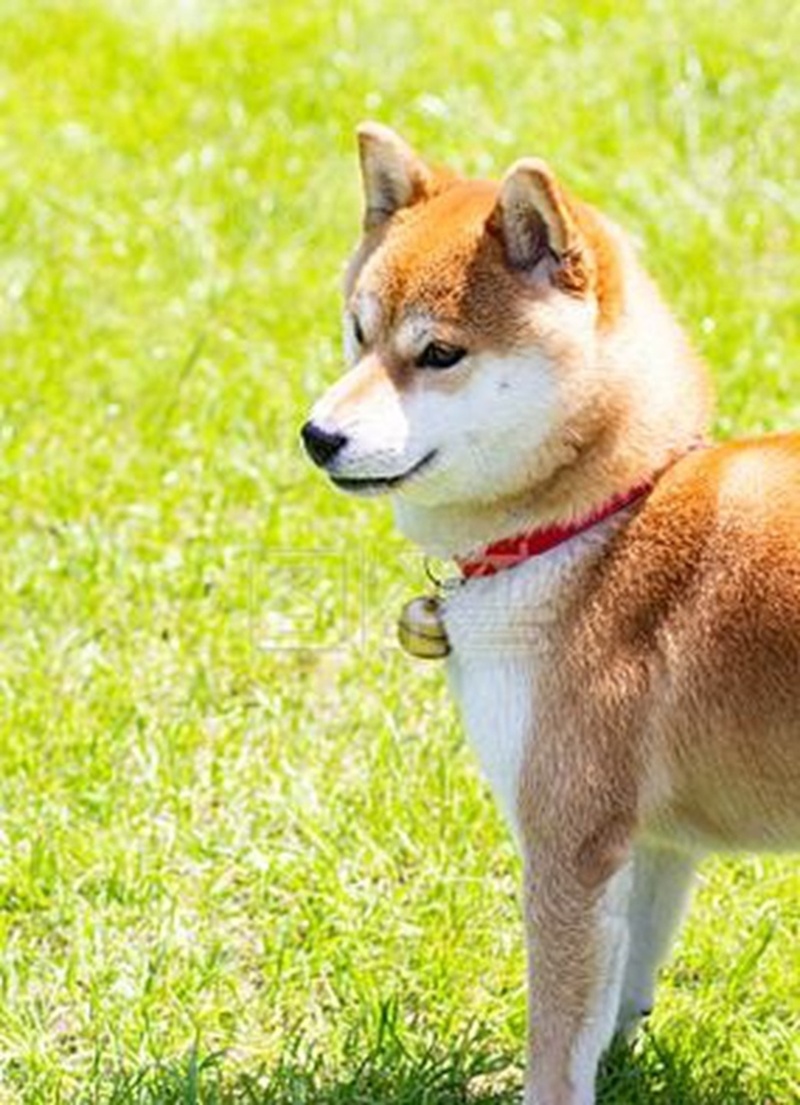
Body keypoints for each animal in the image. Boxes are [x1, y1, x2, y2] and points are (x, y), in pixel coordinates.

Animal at [301, 123, 800, 1105]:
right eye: (357, 333)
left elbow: (558, 1034)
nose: (318, 435)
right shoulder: (647, 840)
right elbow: (618, 991)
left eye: (440, 355)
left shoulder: (567, 836)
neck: (600, 521)